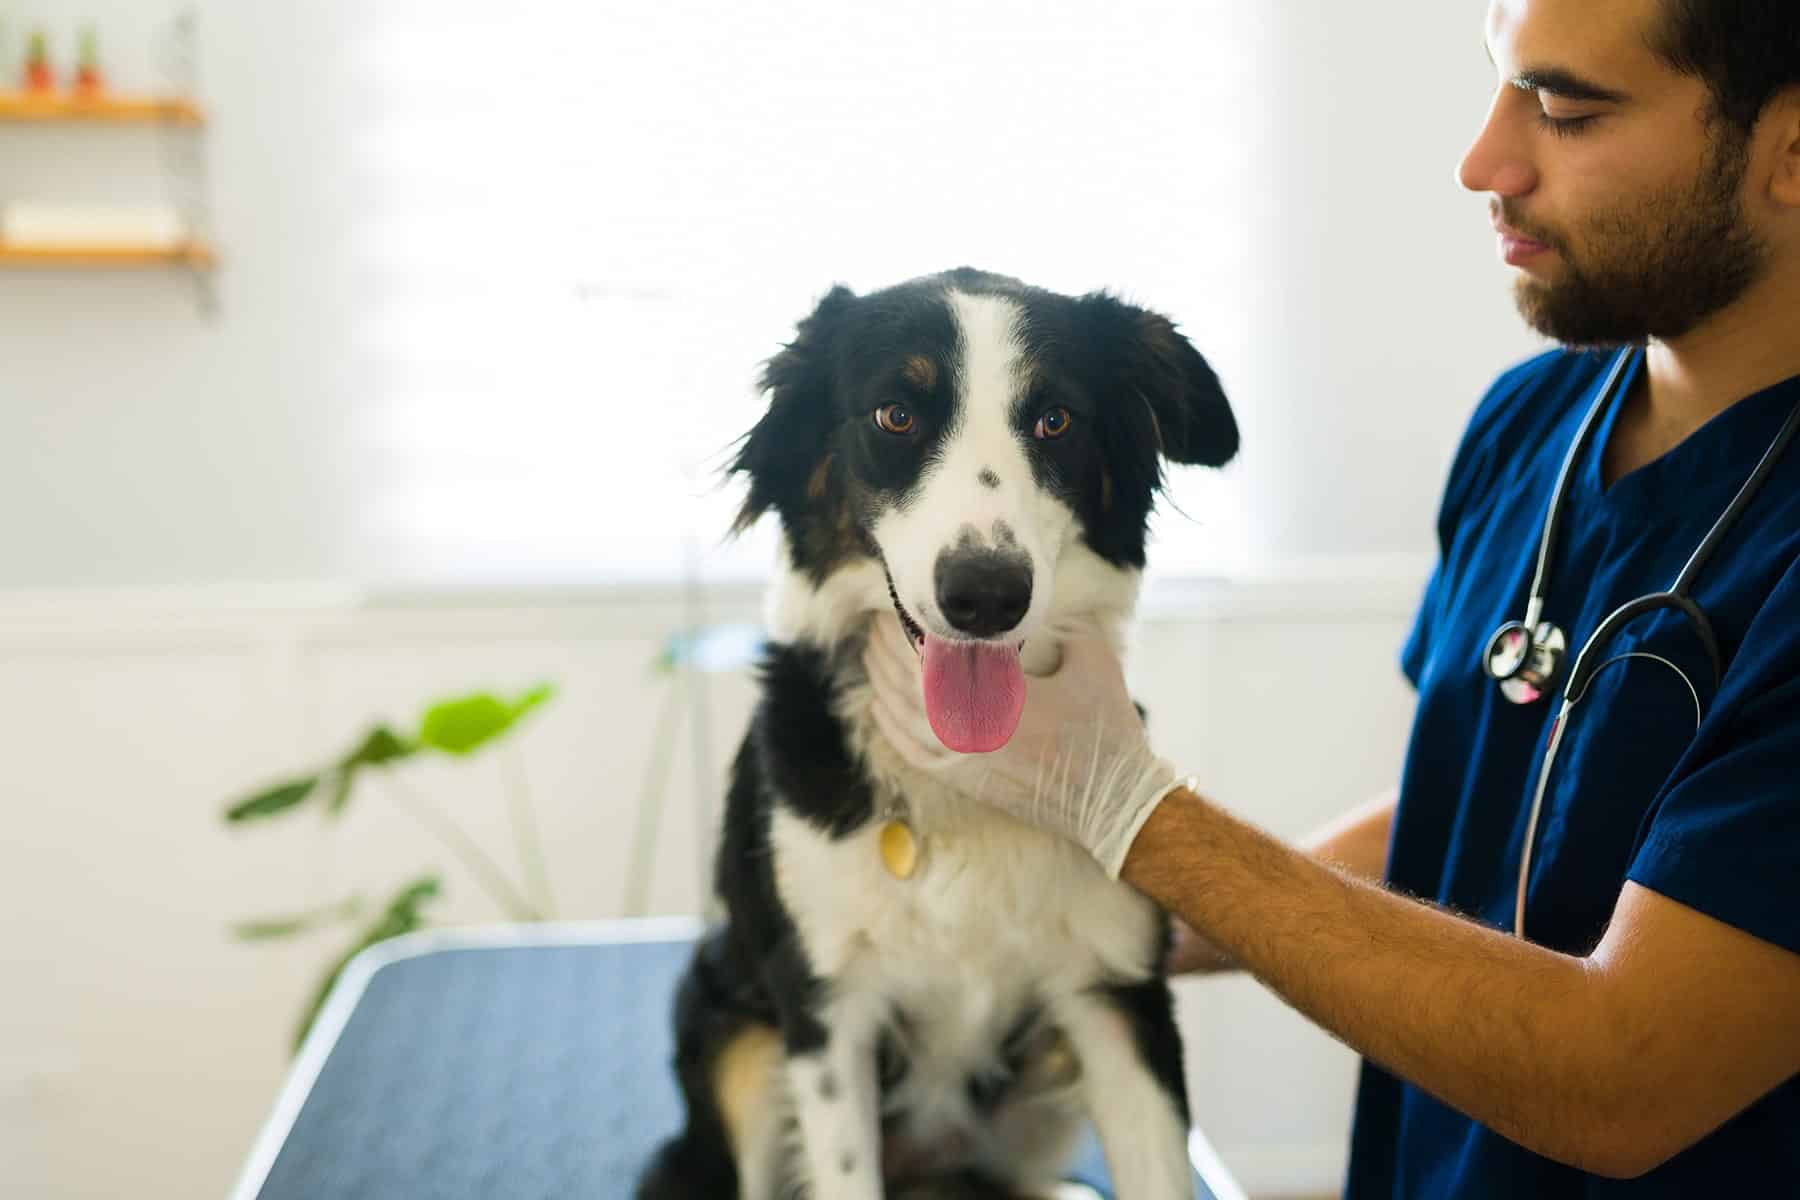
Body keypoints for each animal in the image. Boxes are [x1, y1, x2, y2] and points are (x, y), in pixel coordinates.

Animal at [640, 271, 1245, 1200]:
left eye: (1055, 420)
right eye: (896, 414)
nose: (986, 594)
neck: (963, 778)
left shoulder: (1118, 992)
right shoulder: (826, 1006)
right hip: (731, 1032)